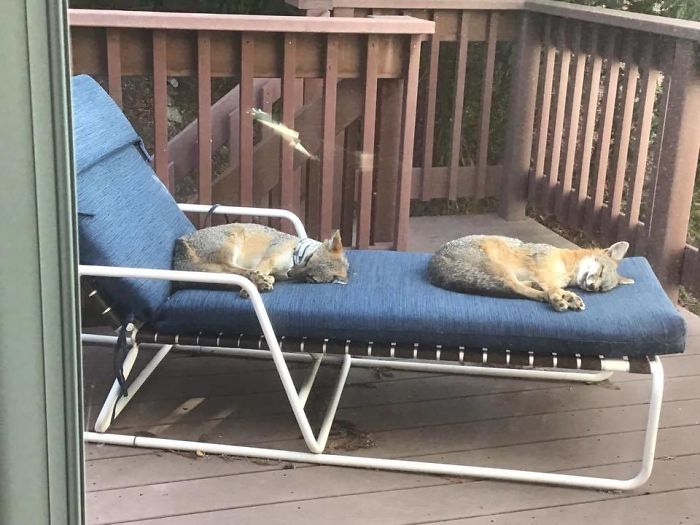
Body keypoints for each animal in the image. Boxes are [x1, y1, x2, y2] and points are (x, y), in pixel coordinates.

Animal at [172, 223, 349, 296]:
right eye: (308, 259)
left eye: (311, 278)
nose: (290, 274)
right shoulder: (268, 258)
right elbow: (260, 268)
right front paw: (250, 288)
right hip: (233, 242)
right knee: (232, 269)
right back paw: (258, 280)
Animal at [427, 235, 634, 312]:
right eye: (600, 271)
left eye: (601, 289)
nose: (591, 287)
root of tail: (433, 262)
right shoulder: (542, 271)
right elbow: (553, 288)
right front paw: (563, 297)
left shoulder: (547, 277)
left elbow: (554, 287)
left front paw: (566, 295)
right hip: (501, 266)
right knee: (514, 287)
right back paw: (551, 298)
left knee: (514, 286)